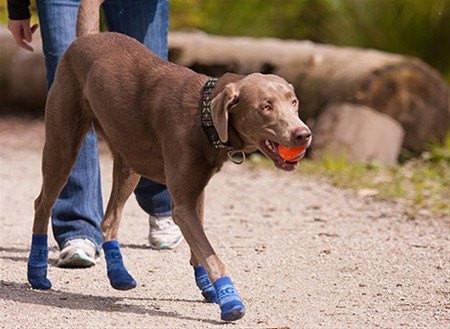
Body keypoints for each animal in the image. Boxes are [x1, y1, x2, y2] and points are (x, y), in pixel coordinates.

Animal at [27, 2, 310, 322]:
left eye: (293, 101)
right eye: (266, 107)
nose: (303, 134)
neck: (203, 117)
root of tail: (87, 38)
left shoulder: (196, 193)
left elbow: (199, 249)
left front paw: (209, 289)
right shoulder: (182, 204)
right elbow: (211, 253)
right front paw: (230, 299)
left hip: (129, 160)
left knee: (110, 219)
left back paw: (119, 275)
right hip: (63, 144)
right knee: (43, 203)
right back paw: (37, 273)